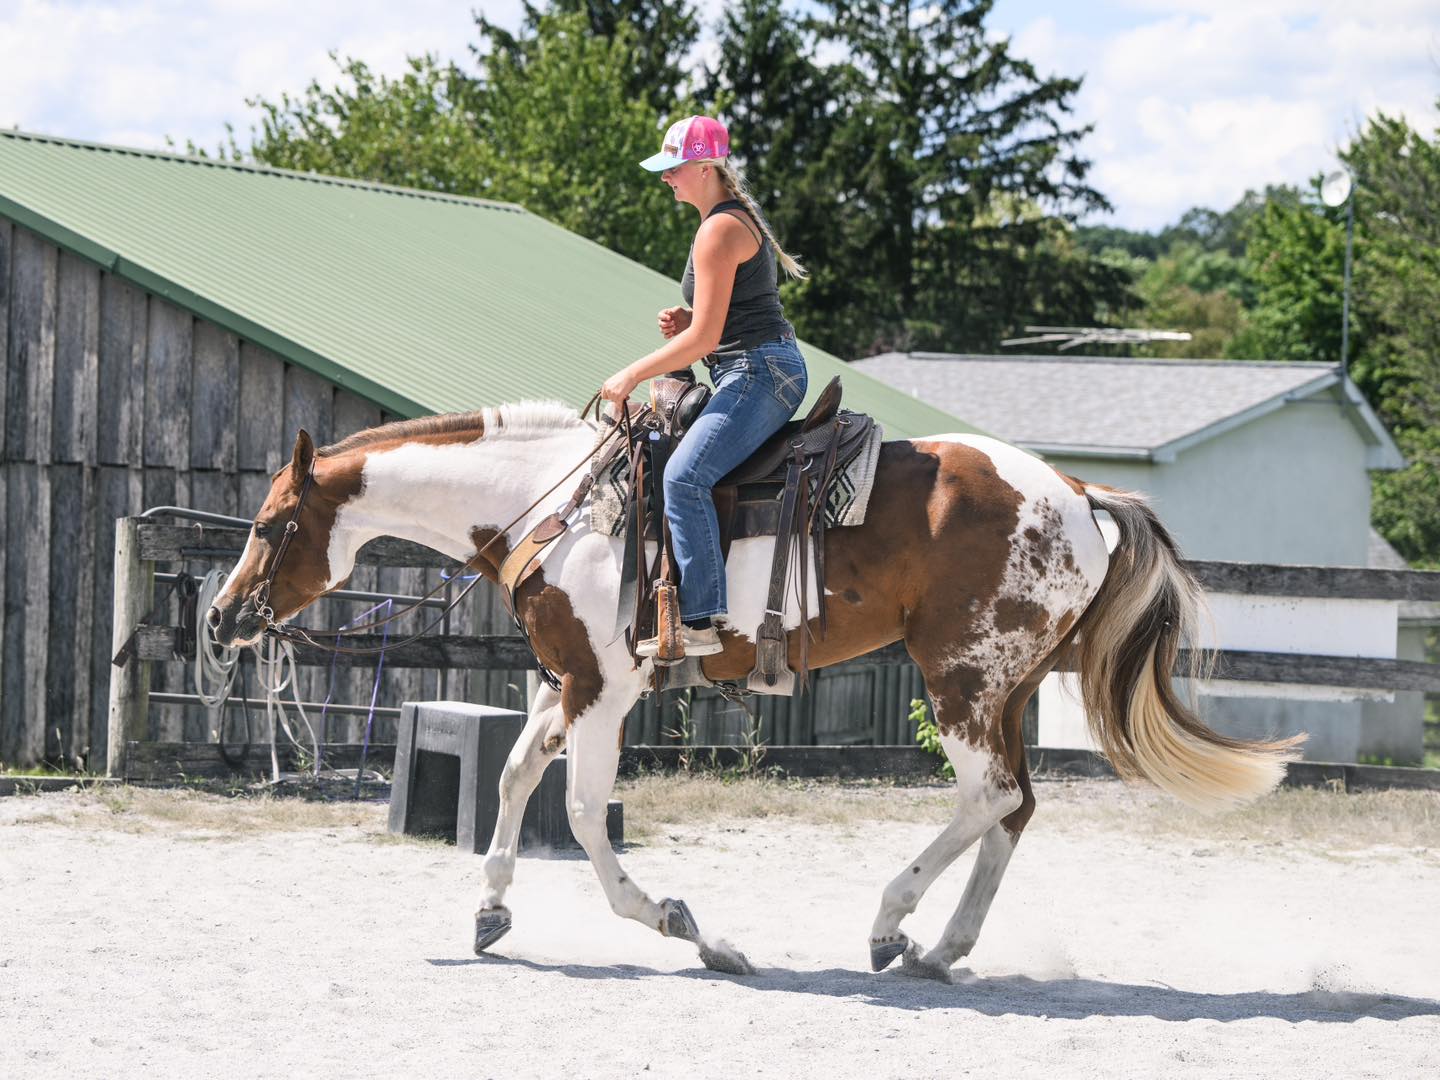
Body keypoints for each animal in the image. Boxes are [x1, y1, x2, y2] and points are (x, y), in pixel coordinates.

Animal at [206, 400, 1301, 980]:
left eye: (268, 525)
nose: (221, 619)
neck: (554, 507)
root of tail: (1079, 495)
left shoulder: (604, 687)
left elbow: (584, 813)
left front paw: (690, 928)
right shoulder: (569, 682)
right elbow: (516, 778)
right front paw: (489, 913)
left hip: (960, 678)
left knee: (988, 796)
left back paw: (890, 926)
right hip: (1009, 686)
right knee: (1015, 807)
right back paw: (944, 945)